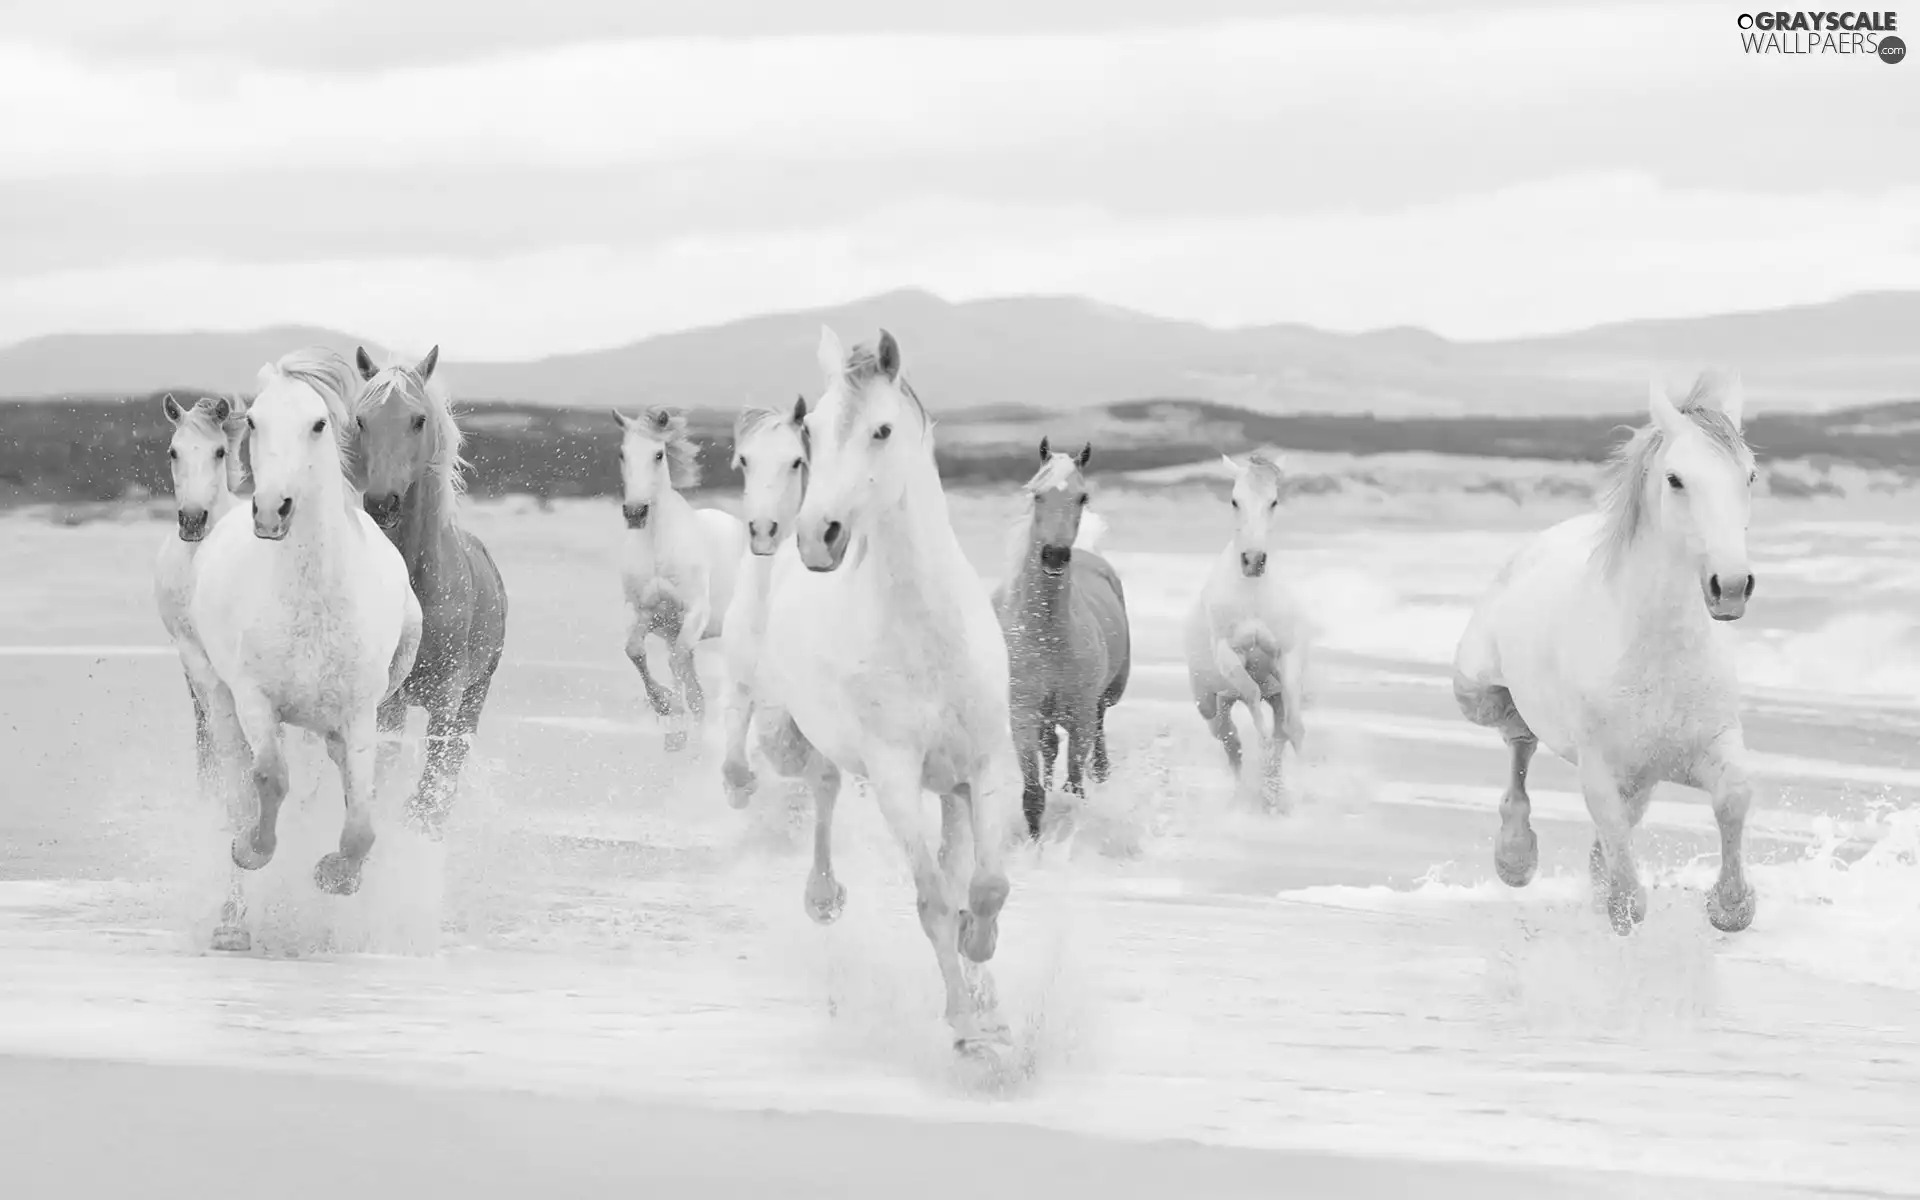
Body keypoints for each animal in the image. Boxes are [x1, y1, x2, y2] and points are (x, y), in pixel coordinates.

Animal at [189, 345, 422, 944]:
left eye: (319, 424)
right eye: (253, 421)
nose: (272, 511)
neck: (312, 599)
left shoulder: (360, 714)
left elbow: (361, 821)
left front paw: (336, 877)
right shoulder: (256, 701)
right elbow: (269, 783)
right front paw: (251, 851)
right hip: (218, 698)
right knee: (236, 793)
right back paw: (232, 922)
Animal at [752, 324, 1029, 1044]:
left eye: (881, 429)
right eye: (811, 433)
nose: (816, 538)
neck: (928, 636)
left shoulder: (989, 766)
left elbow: (986, 888)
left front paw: (981, 961)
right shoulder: (895, 775)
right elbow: (932, 899)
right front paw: (964, 1026)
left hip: (954, 786)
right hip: (810, 740)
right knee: (822, 787)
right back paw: (823, 897)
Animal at [1182, 453, 1305, 810]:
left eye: (1273, 501)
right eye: (1235, 500)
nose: (1253, 560)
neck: (1252, 596)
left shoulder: (1288, 656)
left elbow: (1292, 729)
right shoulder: (1229, 656)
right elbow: (1251, 697)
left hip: (1271, 695)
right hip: (1212, 705)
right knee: (1230, 741)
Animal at [1451, 374, 1758, 936]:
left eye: (1748, 475)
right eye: (1676, 480)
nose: (1730, 587)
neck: (1657, 655)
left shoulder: (1712, 745)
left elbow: (1733, 798)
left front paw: (1730, 906)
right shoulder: (1599, 767)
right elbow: (1619, 858)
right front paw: (1619, 904)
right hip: (1478, 693)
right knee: (1518, 739)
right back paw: (1515, 857)